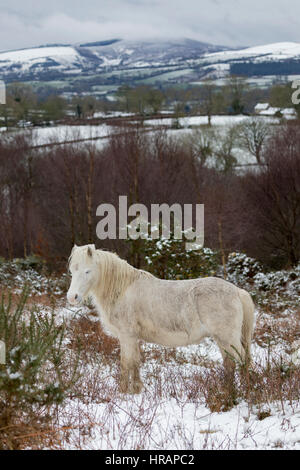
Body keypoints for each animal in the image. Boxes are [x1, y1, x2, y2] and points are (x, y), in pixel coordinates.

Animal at [67, 244, 254, 394]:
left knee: (242, 361)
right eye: (72, 271)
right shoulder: (133, 338)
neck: (122, 289)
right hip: (223, 340)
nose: (72, 297)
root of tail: (237, 291)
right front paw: (136, 391)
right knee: (230, 364)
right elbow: (135, 362)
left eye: (87, 271)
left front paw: (122, 392)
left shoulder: (126, 336)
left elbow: (126, 363)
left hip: (227, 339)